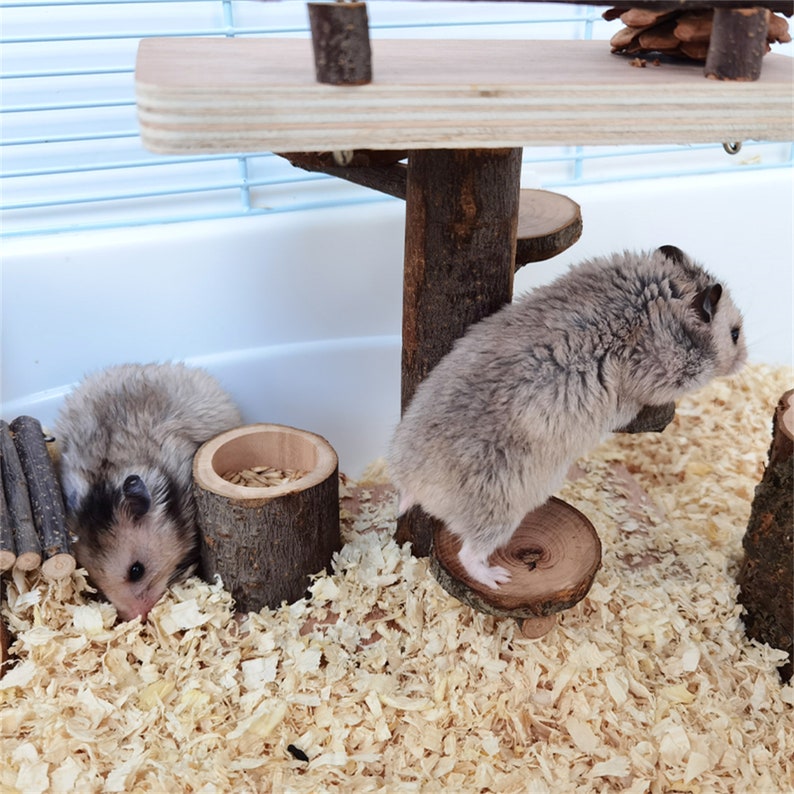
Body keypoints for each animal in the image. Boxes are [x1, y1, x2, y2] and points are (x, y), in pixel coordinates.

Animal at [388, 246, 747, 590]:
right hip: (496, 512)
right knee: (468, 554)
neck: (672, 291)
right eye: (735, 333)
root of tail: (415, 481)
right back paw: (497, 578)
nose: (744, 361)